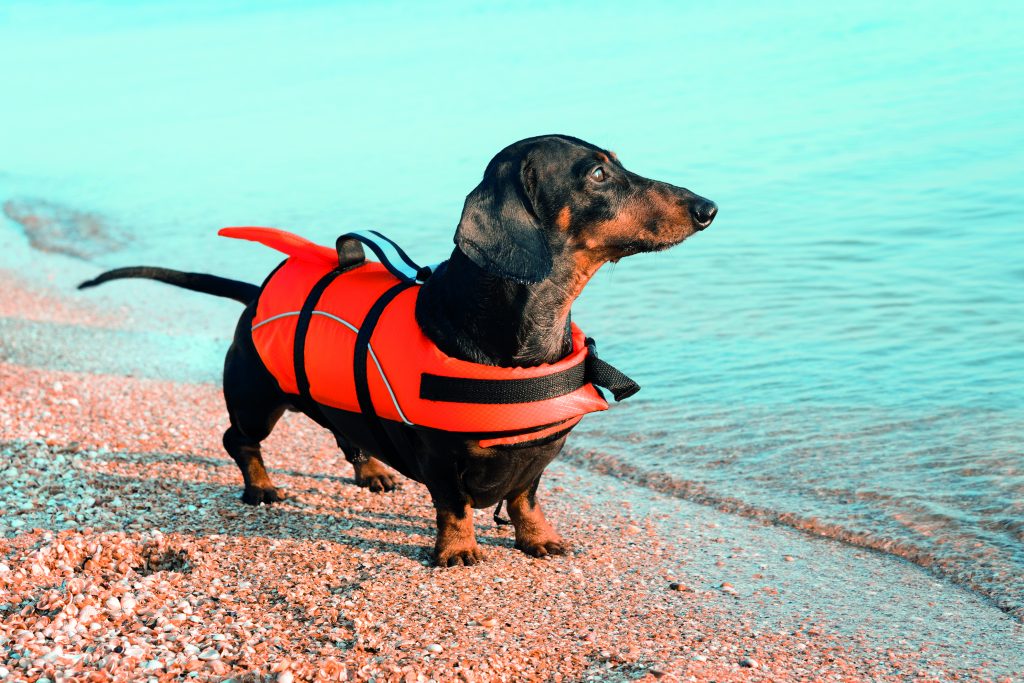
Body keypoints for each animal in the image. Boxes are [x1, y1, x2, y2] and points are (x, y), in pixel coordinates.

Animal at [79, 133, 716, 565]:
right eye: (599, 173)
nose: (708, 208)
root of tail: (255, 293)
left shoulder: (539, 452)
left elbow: (526, 498)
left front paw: (539, 539)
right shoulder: (438, 454)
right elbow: (453, 504)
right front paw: (457, 551)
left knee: (348, 433)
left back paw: (372, 470)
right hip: (256, 398)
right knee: (238, 440)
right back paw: (260, 488)